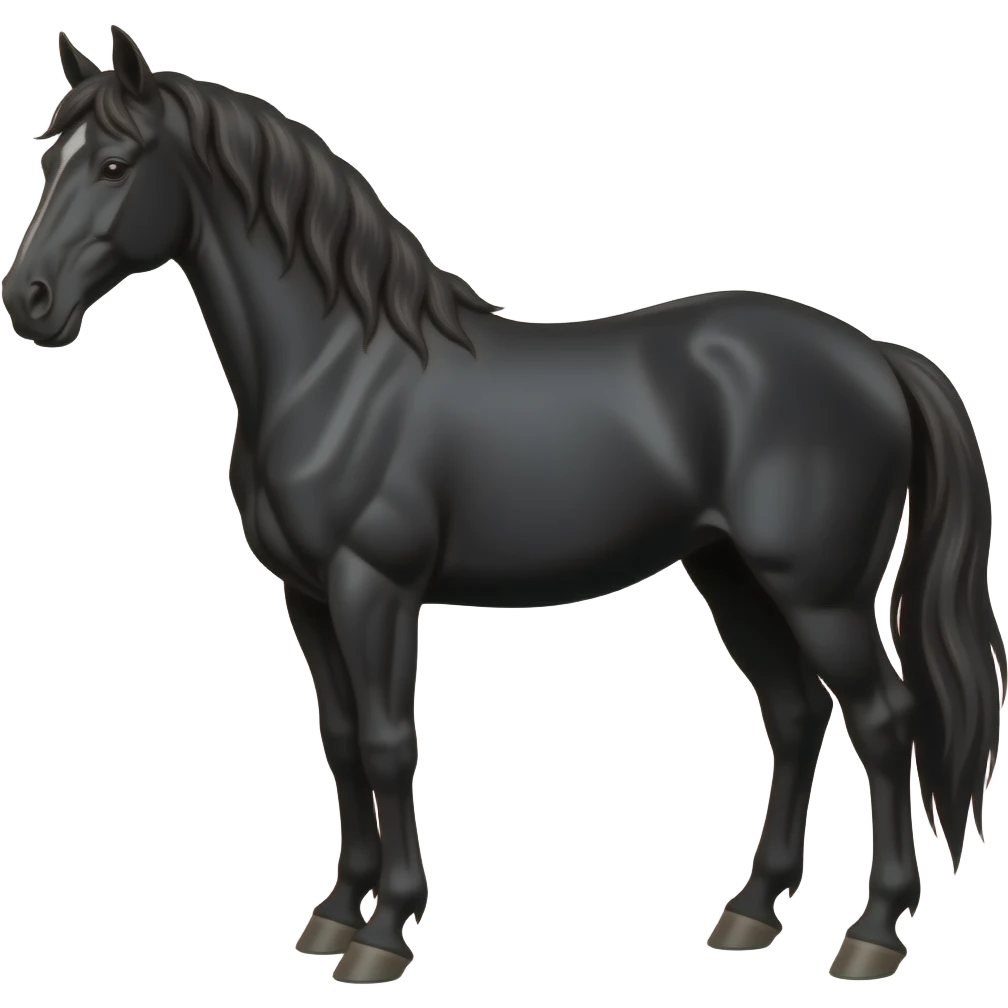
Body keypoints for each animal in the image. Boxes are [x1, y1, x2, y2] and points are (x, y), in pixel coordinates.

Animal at [3, 26, 1004, 985]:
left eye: (116, 164)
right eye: (48, 161)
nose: (29, 300)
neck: (338, 370)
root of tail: (875, 357)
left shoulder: (375, 588)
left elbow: (386, 744)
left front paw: (386, 933)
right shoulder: (309, 596)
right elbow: (338, 741)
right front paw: (335, 914)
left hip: (820, 594)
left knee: (885, 722)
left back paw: (872, 934)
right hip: (732, 575)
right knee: (796, 717)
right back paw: (751, 913)